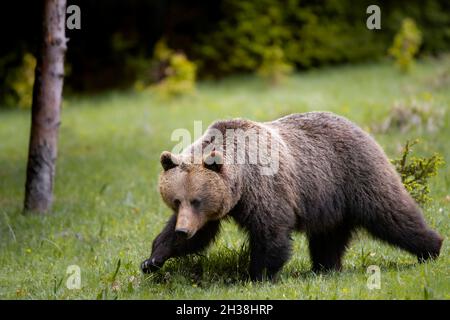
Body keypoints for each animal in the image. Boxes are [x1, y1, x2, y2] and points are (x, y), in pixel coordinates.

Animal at [141, 112, 442, 280]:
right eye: (177, 200)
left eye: (197, 200)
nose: (183, 230)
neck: (241, 182)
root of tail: (360, 128)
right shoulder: (221, 202)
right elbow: (200, 234)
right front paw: (153, 259)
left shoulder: (265, 188)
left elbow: (271, 231)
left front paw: (255, 275)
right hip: (328, 200)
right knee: (328, 237)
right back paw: (324, 267)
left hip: (356, 175)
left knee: (391, 214)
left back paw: (432, 247)